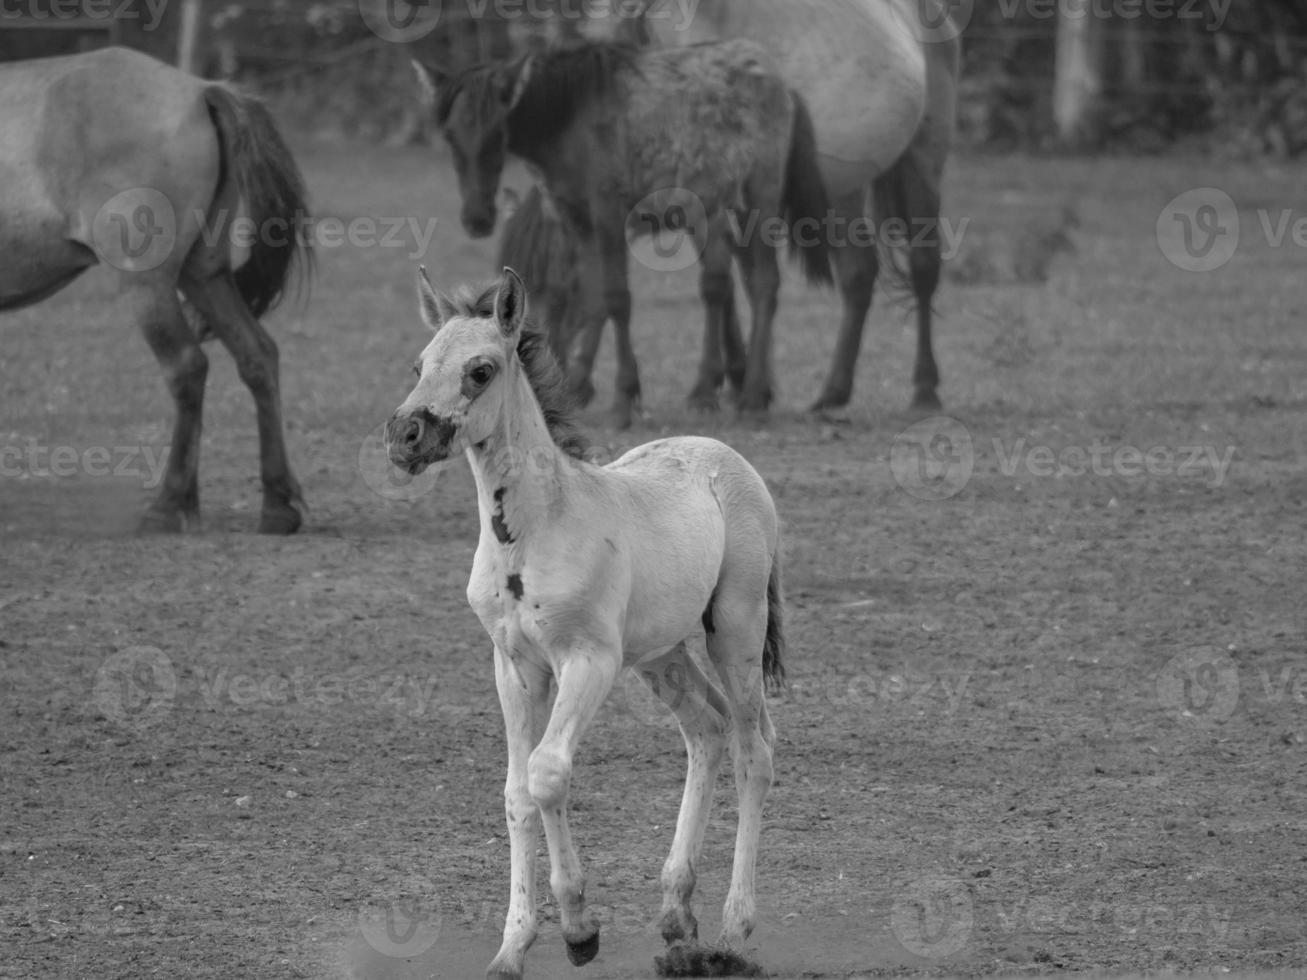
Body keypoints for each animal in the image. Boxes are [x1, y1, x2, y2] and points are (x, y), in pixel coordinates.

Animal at [1, 44, 309, 538]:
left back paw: (168, 505)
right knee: (257, 356)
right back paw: (277, 504)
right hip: (203, 276)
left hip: (147, 283)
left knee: (186, 367)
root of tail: (202, 91)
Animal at [381, 269, 778, 980]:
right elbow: (516, 791)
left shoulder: (587, 661)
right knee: (705, 729)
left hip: (735, 628)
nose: (404, 436)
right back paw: (677, 917)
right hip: (660, 654)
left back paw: (733, 933)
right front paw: (512, 948)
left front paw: (578, 929)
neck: (535, 530)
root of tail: (722, 453)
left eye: (480, 370)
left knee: (753, 747)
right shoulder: (513, 667)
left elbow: (548, 772)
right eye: (419, 365)